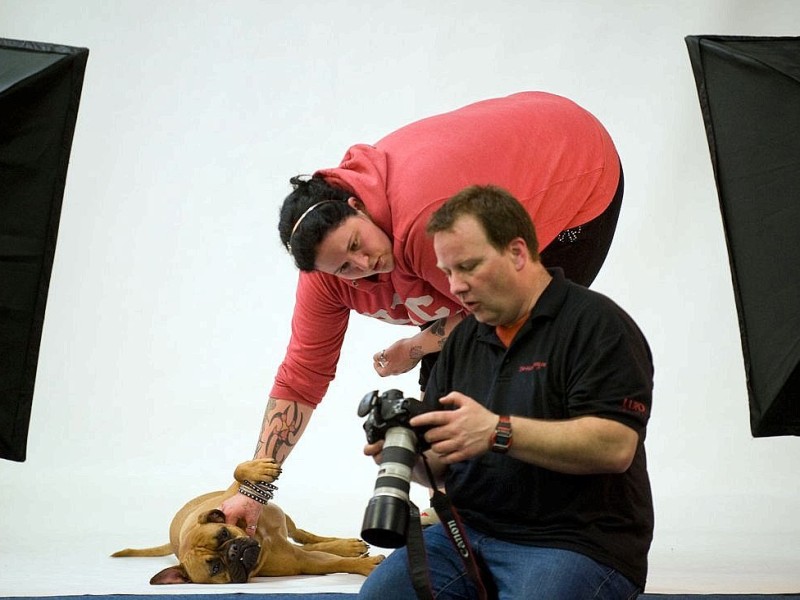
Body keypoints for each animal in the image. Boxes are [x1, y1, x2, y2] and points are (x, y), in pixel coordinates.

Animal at [112, 460, 384, 580]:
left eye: (223, 534)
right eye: (215, 568)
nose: (233, 550)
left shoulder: (233, 495)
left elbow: (238, 473)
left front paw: (256, 468)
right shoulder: (305, 562)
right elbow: (335, 562)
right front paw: (364, 566)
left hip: (282, 515)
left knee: (304, 535)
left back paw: (347, 544)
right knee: (308, 544)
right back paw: (350, 548)